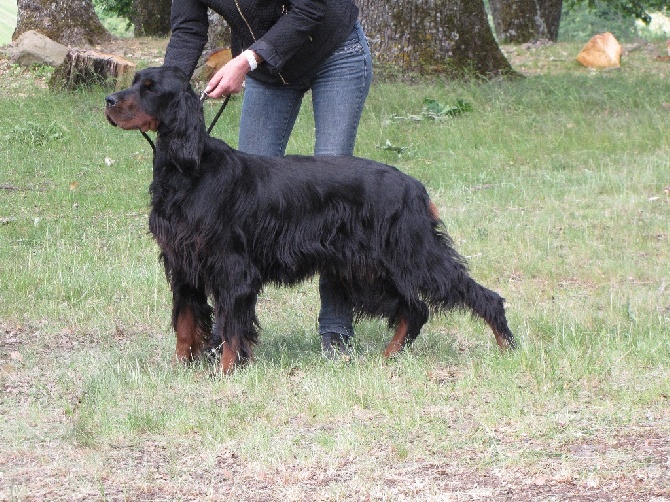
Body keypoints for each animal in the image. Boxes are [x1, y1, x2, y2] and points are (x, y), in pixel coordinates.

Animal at [105, 66, 520, 372]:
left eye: (149, 88)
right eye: (134, 81)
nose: (108, 100)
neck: (188, 170)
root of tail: (414, 186)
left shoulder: (231, 266)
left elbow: (232, 328)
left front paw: (227, 371)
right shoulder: (183, 261)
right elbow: (186, 323)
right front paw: (181, 369)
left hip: (413, 254)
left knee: (481, 297)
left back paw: (508, 347)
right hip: (367, 268)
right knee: (415, 309)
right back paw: (388, 357)